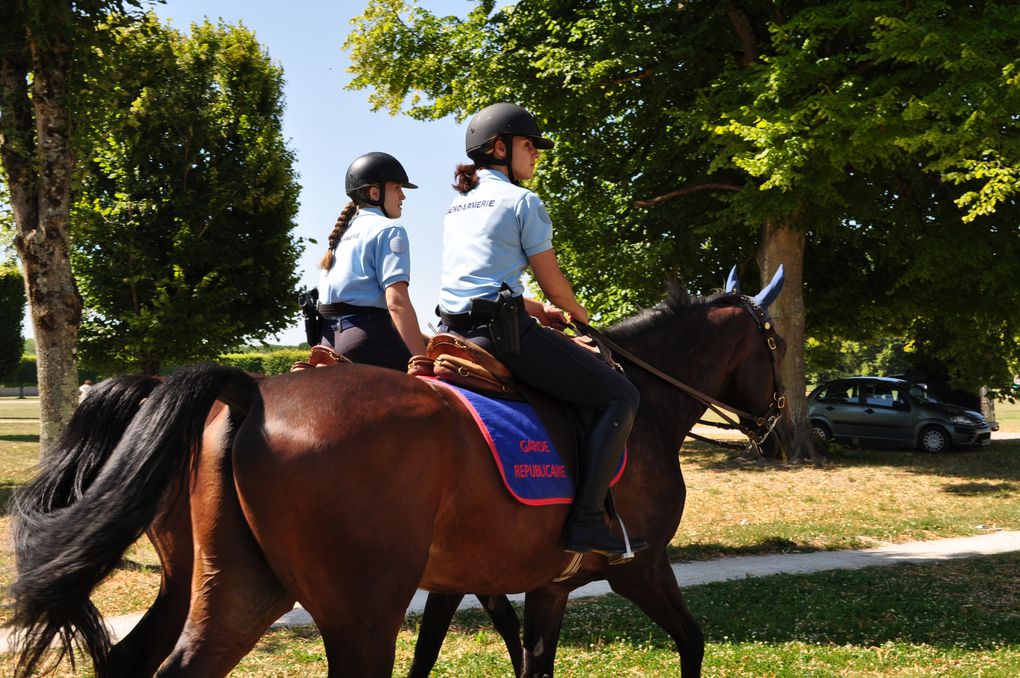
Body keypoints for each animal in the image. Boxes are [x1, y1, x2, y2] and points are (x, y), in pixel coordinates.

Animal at [3, 277, 791, 676]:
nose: (778, 425)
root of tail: (251, 393)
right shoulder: (639, 567)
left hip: (234, 587)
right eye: (775, 343)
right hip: (358, 613)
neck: (644, 401)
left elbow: (522, 659)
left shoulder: (539, 583)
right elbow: (691, 643)